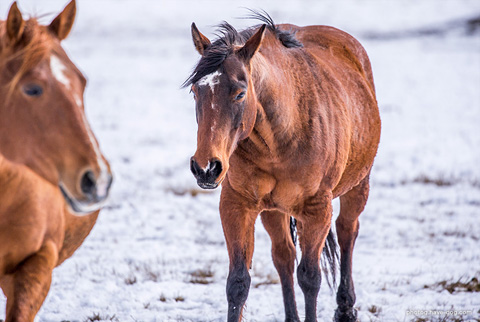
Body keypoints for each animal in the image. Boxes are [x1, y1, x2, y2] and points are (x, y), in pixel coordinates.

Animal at [186, 12, 380, 322]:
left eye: (240, 94)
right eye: (195, 91)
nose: (206, 168)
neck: (280, 139)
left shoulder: (316, 210)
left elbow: (310, 277)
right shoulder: (236, 205)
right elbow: (238, 282)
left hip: (358, 185)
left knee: (347, 231)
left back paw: (346, 308)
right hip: (274, 210)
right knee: (284, 257)